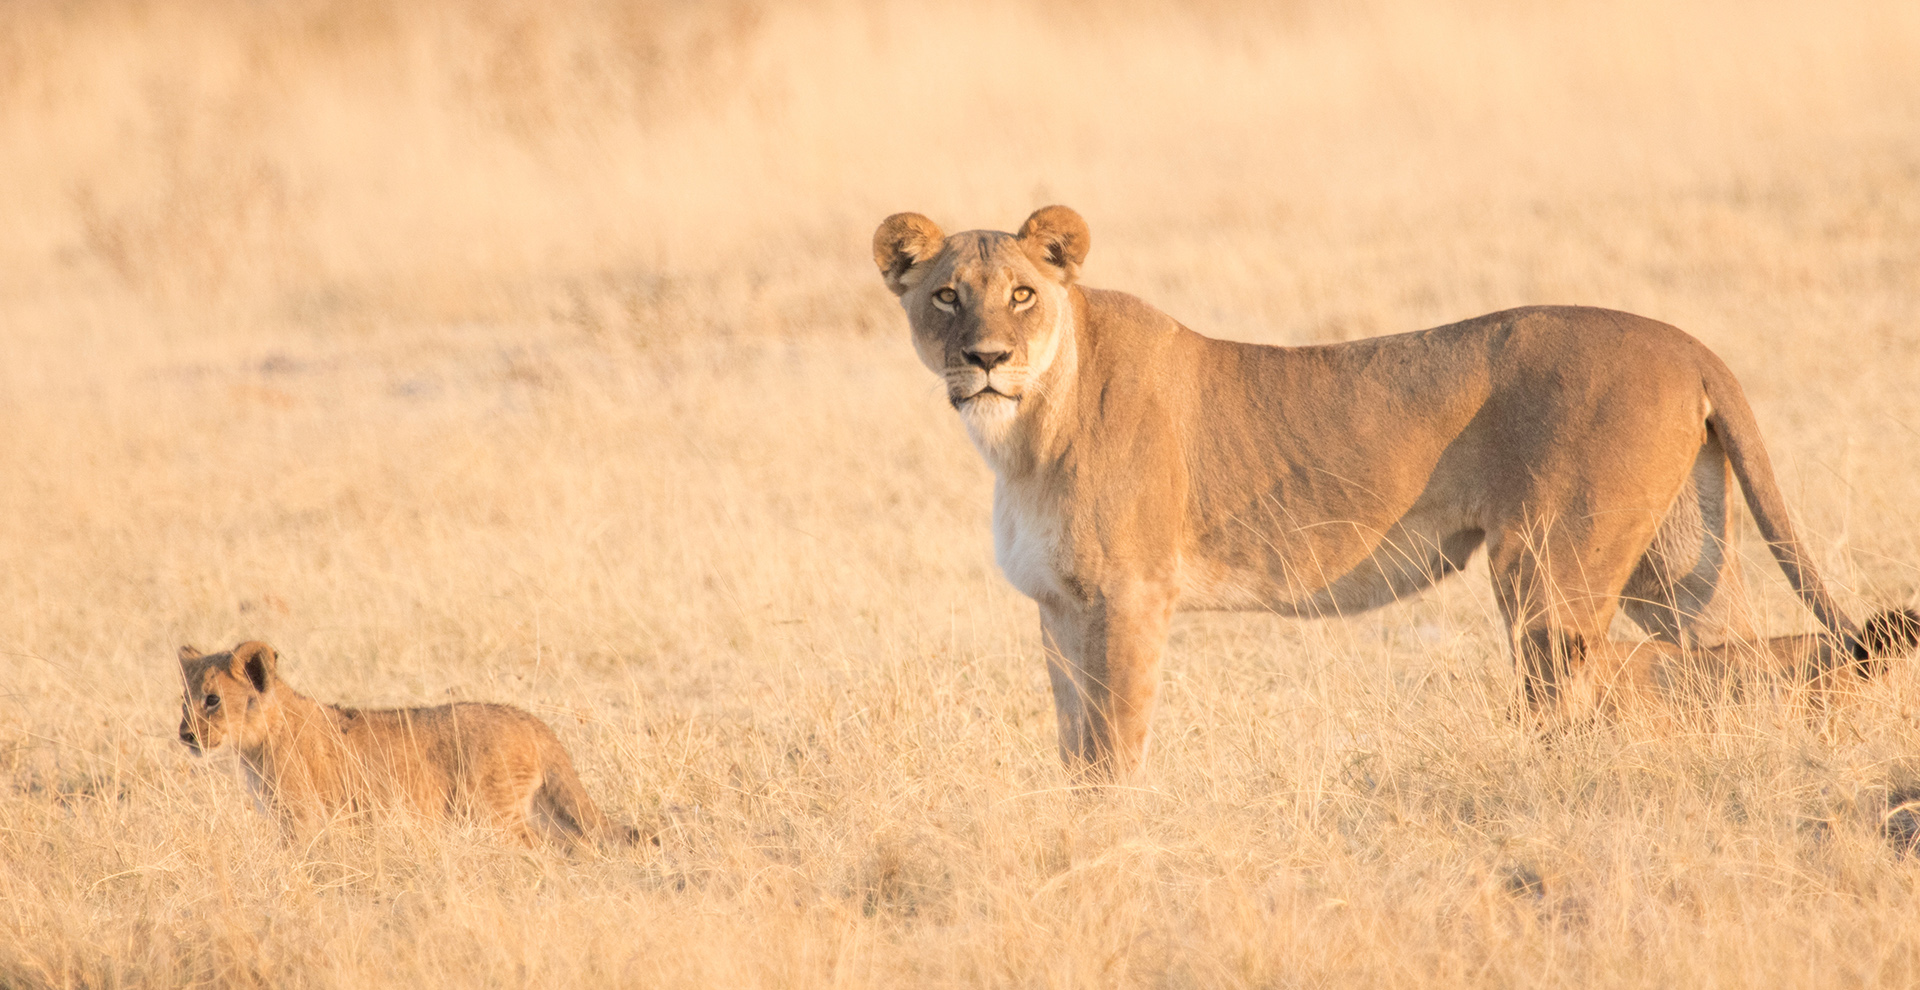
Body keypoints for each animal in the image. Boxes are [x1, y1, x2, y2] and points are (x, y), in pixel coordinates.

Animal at [177, 641, 639, 848]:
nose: (185, 735)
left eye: (212, 699)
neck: (254, 745)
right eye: (184, 699)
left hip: (493, 814)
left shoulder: (305, 816)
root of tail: (534, 722)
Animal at [872, 205, 1918, 779]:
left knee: (1577, 685)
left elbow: (1115, 737)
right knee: (1737, 659)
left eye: (1021, 294)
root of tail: (1689, 341)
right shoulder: (1057, 605)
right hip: (1676, 560)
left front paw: (1119, 835)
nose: (985, 359)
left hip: (1549, 568)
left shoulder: (1132, 595)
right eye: (945, 296)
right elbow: (1072, 740)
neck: (1021, 434)